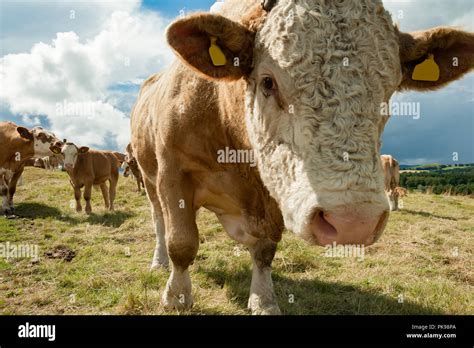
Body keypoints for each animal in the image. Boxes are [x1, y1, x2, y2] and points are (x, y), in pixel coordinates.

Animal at [130, 0, 474, 314]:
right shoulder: (173, 172)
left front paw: (264, 300)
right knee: (159, 221)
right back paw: (159, 261)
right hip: (149, 177)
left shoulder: (272, 196)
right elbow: (182, 242)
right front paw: (176, 296)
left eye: (389, 92)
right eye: (268, 82)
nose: (353, 222)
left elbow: (265, 249)